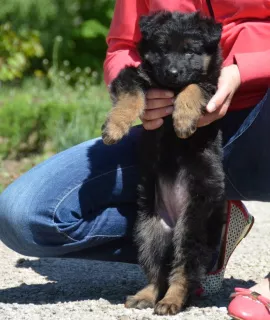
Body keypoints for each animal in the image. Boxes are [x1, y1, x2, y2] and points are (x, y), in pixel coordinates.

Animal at [101, 10, 226, 316]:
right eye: (162, 49)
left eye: (190, 51)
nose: (172, 73)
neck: (170, 87)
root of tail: (173, 220)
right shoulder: (133, 74)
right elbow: (132, 94)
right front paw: (115, 128)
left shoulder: (212, 87)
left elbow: (194, 87)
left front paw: (182, 120)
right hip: (148, 231)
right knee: (156, 272)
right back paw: (146, 296)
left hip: (193, 229)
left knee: (182, 272)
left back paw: (171, 301)